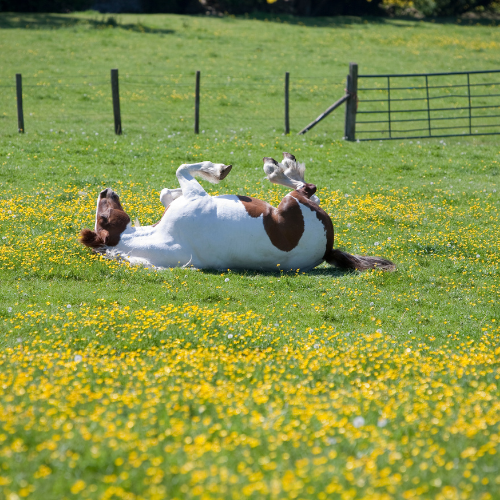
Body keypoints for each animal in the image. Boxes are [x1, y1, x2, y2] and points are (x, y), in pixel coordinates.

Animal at [80, 153, 396, 274]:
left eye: (102, 217)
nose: (104, 192)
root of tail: (328, 248)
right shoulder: (196, 195)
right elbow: (183, 169)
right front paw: (219, 170)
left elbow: (166, 191)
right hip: (292, 203)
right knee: (306, 188)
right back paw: (280, 167)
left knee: (309, 188)